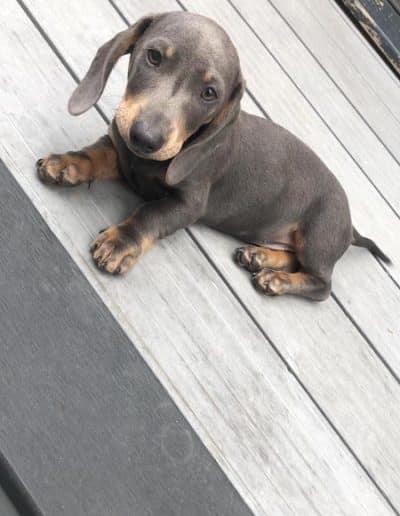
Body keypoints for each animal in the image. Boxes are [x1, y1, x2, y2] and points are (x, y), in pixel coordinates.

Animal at [36, 11, 390, 302]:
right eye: (153, 56)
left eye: (209, 94)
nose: (145, 138)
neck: (148, 162)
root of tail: (351, 227)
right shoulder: (121, 151)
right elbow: (94, 155)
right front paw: (66, 163)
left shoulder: (189, 204)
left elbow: (150, 215)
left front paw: (121, 243)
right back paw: (261, 258)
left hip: (319, 235)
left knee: (322, 285)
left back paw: (277, 280)